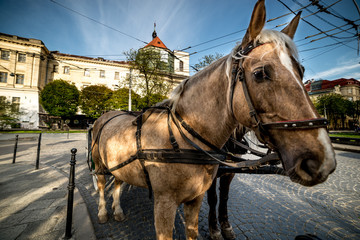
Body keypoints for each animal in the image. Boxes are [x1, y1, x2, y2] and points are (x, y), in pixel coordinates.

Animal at [91, 0, 336, 239]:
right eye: (260, 74)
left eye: (301, 70)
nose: (322, 160)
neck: (182, 138)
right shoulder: (164, 205)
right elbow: (214, 199)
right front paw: (216, 229)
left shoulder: (200, 195)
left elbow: (216, 204)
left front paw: (223, 227)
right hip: (99, 163)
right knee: (102, 184)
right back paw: (103, 212)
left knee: (118, 182)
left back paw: (118, 210)